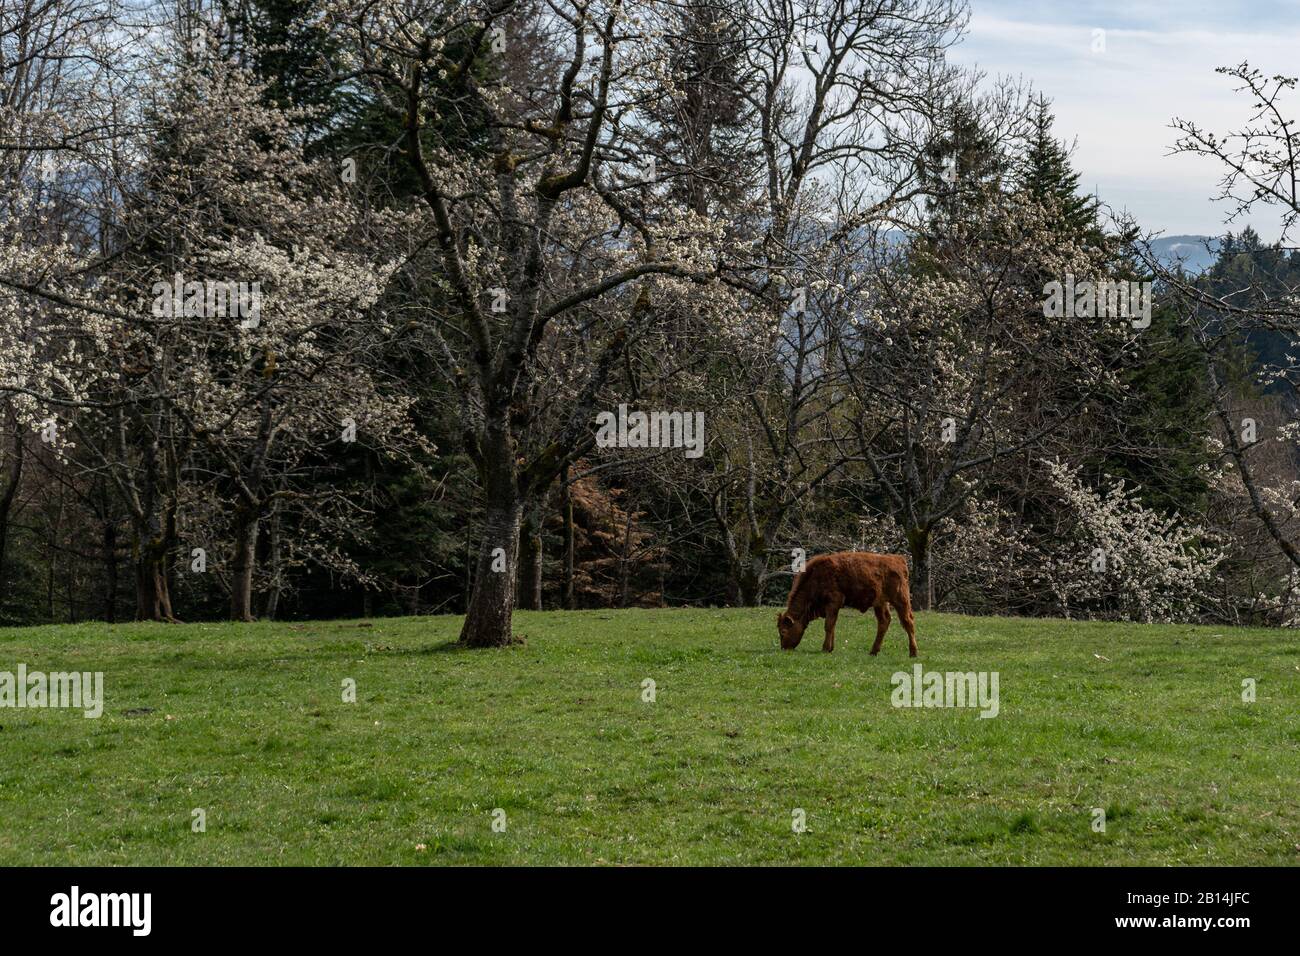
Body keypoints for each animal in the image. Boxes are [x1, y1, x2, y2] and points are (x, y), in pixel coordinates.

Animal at [774, 554, 920, 658]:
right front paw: (830, 648)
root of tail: (898, 559)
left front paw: (825, 648)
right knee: (884, 621)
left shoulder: (833, 602)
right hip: (880, 603)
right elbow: (832, 625)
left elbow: (828, 625)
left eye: (783, 631)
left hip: (900, 600)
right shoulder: (832, 607)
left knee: (908, 622)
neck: (816, 576)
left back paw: (913, 653)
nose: (784, 648)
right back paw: (873, 651)